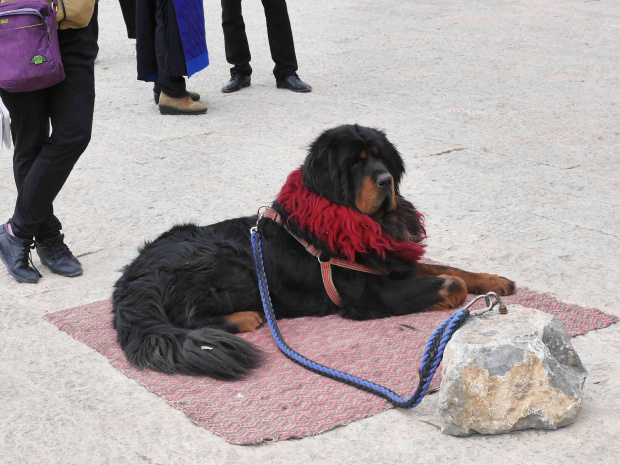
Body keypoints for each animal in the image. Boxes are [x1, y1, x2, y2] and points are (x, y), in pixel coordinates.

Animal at [114, 123, 516, 376]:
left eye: (381, 157)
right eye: (355, 162)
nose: (385, 180)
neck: (349, 218)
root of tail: (134, 275)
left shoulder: (390, 265)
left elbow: (452, 269)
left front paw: (495, 281)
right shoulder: (372, 292)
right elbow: (451, 282)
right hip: (232, 262)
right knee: (187, 315)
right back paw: (246, 317)